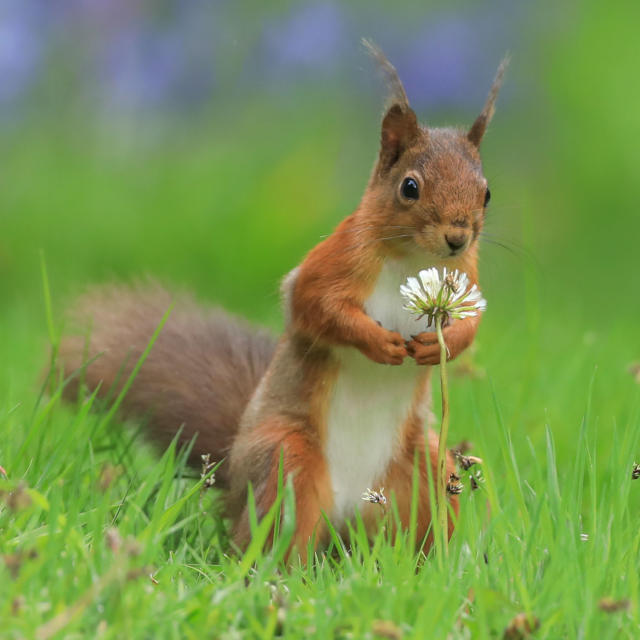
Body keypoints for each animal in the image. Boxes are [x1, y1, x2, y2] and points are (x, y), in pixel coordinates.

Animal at [57, 45, 508, 556]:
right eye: (409, 187)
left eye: (486, 193)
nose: (457, 236)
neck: (412, 258)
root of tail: (347, 517)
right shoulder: (331, 262)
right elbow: (316, 307)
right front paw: (379, 343)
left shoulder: (466, 277)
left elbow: (471, 323)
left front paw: (440, 345)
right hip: (285, 462)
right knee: (275, 534)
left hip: (424, 470)